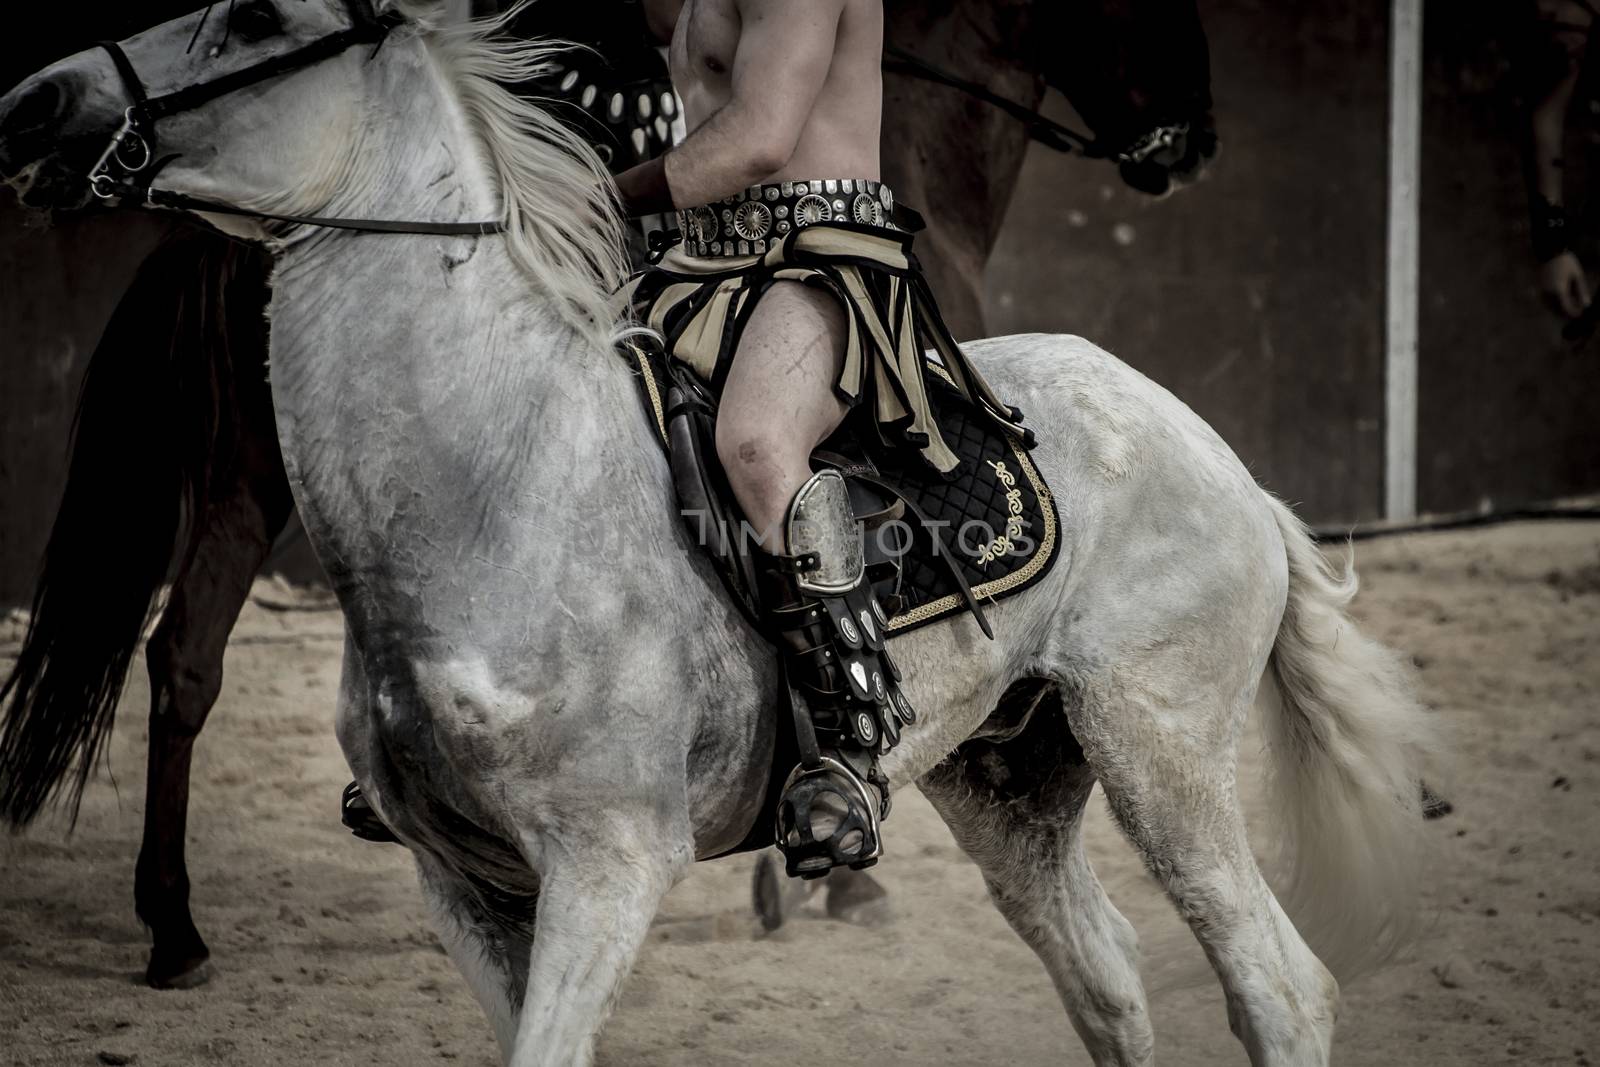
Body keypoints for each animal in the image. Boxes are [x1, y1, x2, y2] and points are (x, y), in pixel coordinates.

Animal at [0, 4, 1440, 1062]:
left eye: (255, 17)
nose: (37, 104)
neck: (493, 482)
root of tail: (1225, 461)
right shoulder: (464, 887)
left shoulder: (608, 865)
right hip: (1011, 780)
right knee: (1110, 977)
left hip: (1161, 750)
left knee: (1278, 984)